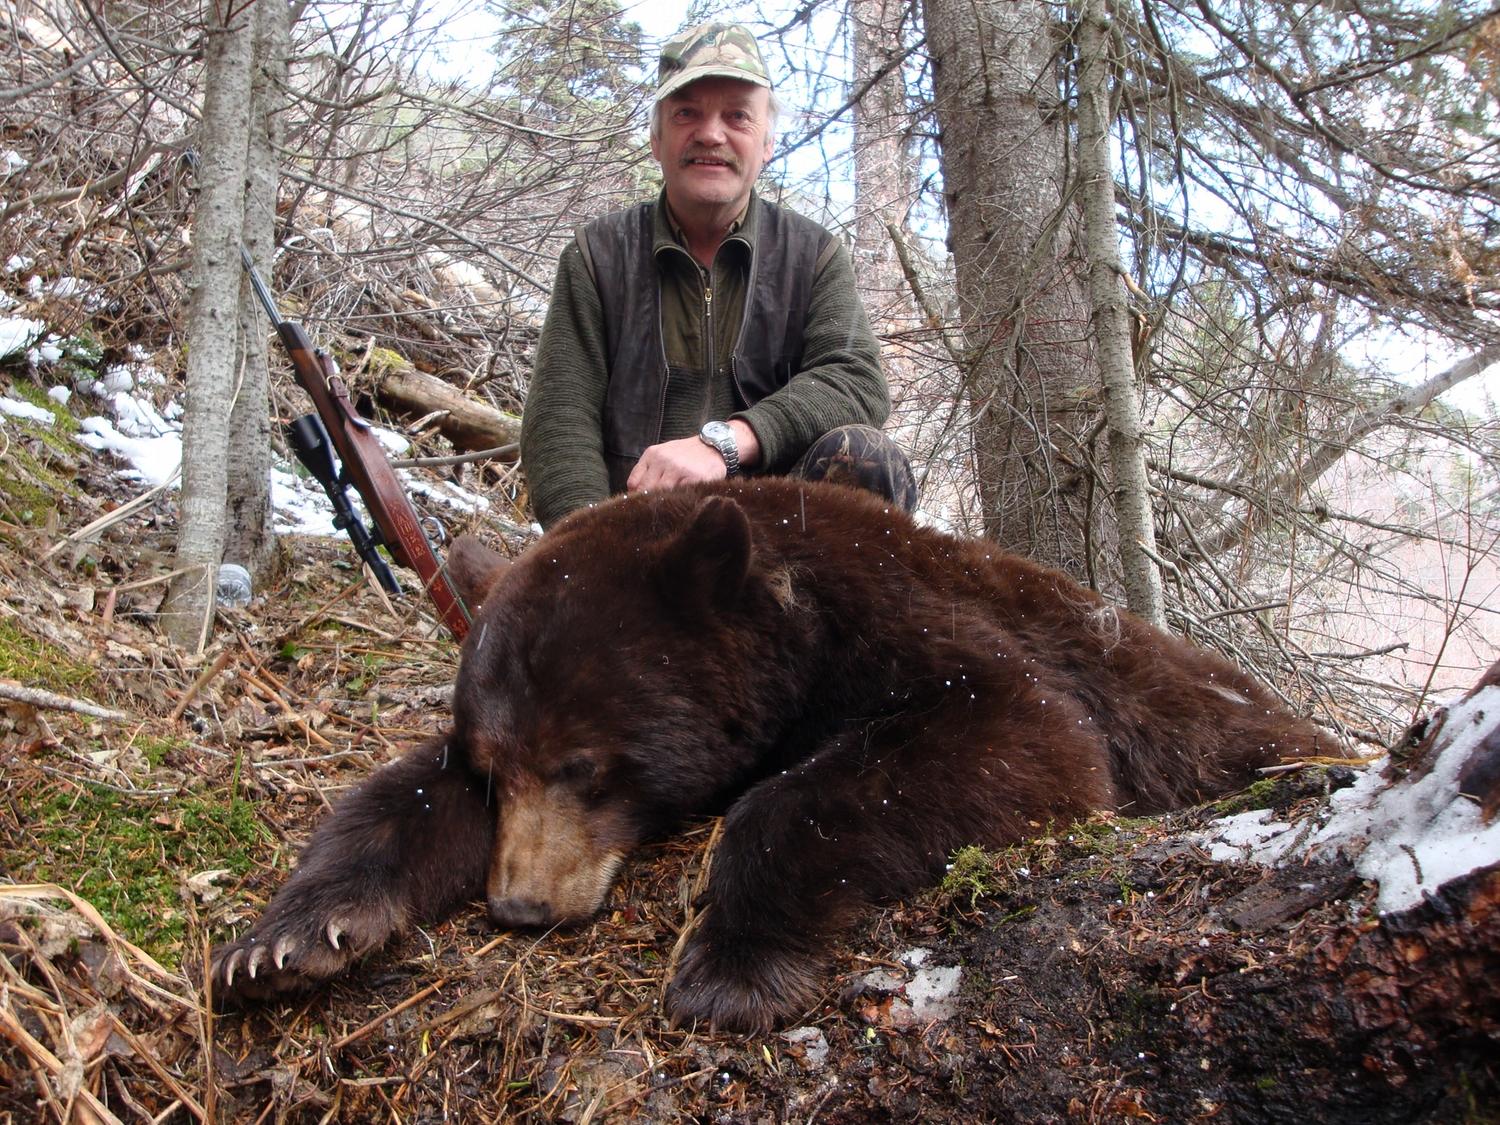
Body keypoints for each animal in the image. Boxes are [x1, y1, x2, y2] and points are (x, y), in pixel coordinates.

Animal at [210, 477, 1329, 1031]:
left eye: (588, 763)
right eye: (498, 767)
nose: (520, 903)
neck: (795, 615)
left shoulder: (936, 632)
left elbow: (1032, 741)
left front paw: (730, 966)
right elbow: (399, 795)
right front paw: (285, 941)